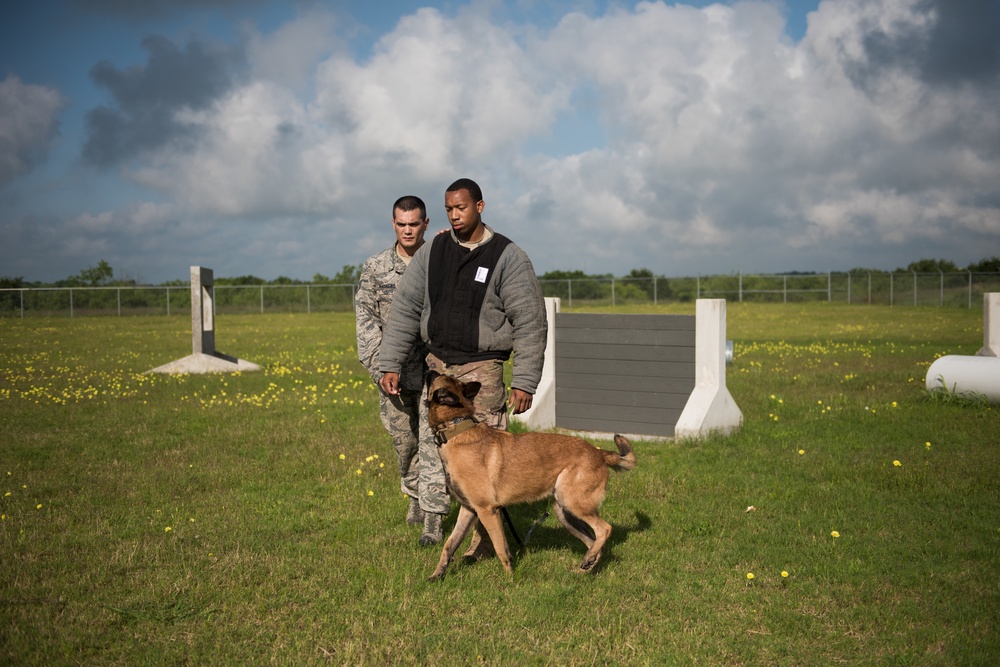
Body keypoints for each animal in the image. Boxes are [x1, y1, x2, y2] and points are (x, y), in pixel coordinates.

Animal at [426, 374, 636, 580]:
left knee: (604, 529)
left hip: (573, 503)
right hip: (565, 512)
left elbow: (500, 548)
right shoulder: (468, 510)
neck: (456, 428)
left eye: (434, 378)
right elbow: (449, 545)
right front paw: (437, 574)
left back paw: (588, 560)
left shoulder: (487, 511)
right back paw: (585, 567)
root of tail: (599, 453)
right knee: (594, 542)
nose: (429, 371)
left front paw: (510, 579)